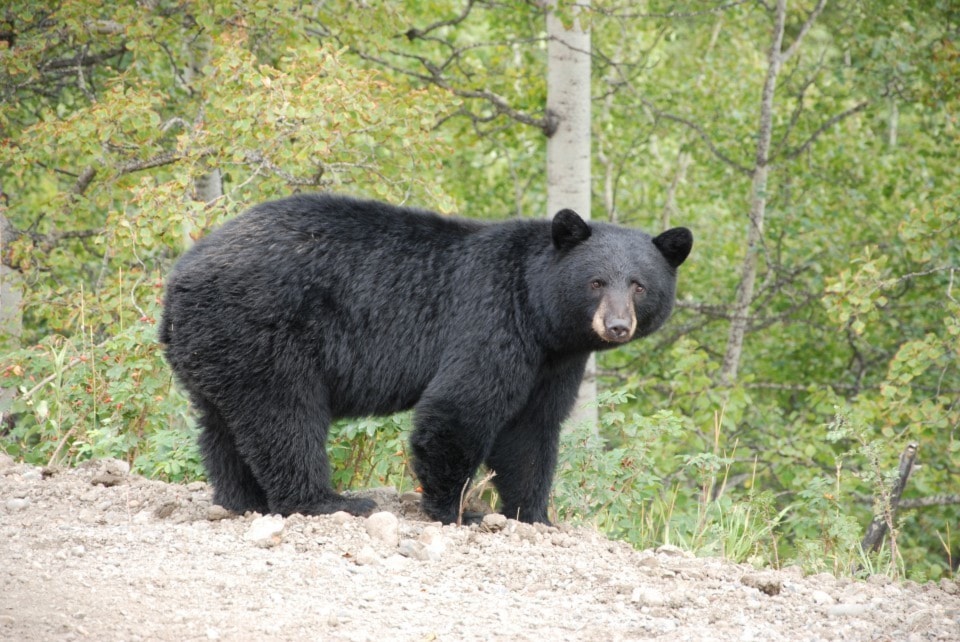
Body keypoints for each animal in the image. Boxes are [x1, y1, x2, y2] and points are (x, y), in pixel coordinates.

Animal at [161, 192, 692, 524]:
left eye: (639, 285)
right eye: (596, 281)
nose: (617, 325)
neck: (538, 311)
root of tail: (179, 278)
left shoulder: (554, 360)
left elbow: (532, 429)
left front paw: (533, 514)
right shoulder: (491, 320)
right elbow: (459, 408)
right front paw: (458, 510)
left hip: (216, 346)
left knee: (222, 426)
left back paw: (241, 499)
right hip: (264, 331)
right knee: (284, 417)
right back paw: (326, 501)